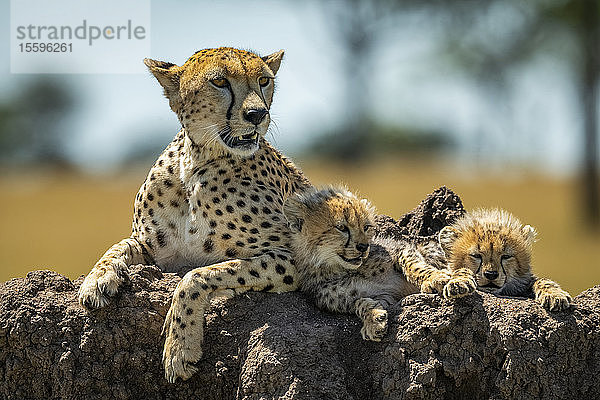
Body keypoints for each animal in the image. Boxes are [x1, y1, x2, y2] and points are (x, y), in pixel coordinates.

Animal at [76, 47, 310, 382]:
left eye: (264, 80)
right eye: (220, 81)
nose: (257, 115)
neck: (197, 161)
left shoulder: (300, 258)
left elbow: (198, 275)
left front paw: (179, 348)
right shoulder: (156, 251)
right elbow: (118, 245)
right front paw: (96, 279)